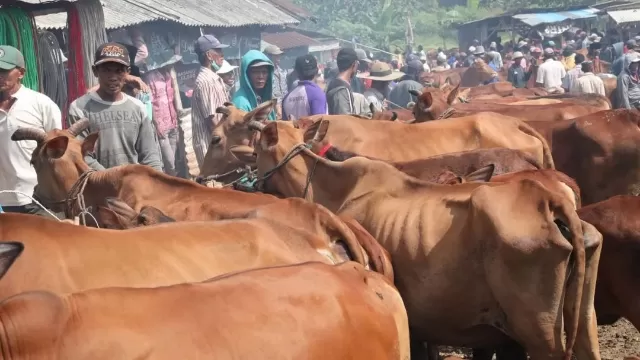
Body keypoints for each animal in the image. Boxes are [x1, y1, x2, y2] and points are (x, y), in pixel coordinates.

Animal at [251, 121, 604, 360]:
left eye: (255, 150)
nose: (252, 181)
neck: (333, 185)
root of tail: (551, 202)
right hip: (584, 322)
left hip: (541, 335)